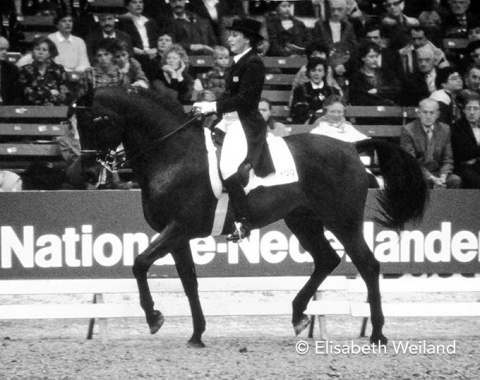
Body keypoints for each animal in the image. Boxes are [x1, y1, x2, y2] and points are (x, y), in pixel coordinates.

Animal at [80, 86, 430, 348]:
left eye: (96, 120)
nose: (87, 173)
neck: (172, 154)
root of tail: (351, 147)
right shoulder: (178, 235)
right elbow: (189, 281)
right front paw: (196, 334)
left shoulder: (179, 228)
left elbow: (140, 264)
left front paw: (154, 318)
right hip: (303, 220)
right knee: (327, 260)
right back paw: (299, 316)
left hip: (342, 221)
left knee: (367, 265)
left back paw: (378, 334)